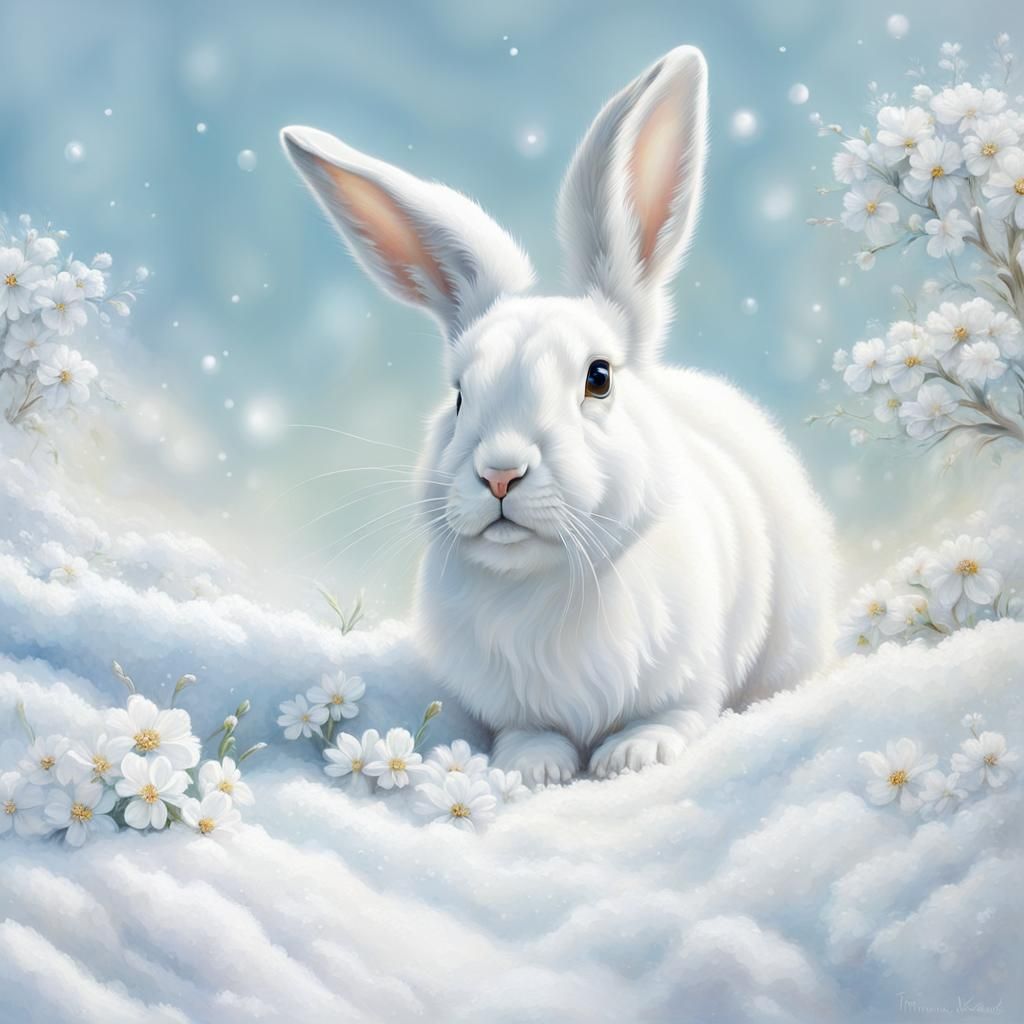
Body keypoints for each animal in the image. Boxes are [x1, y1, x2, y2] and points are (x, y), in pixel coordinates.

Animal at [281, 44, 836, 786]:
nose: (499, 474)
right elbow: (527, 731)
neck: (542, 584)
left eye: (598, 378)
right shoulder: (511, 703)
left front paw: (631, 756)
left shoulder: (692, 678)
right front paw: (535, 767)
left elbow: (677, 716)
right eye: (459, 394)